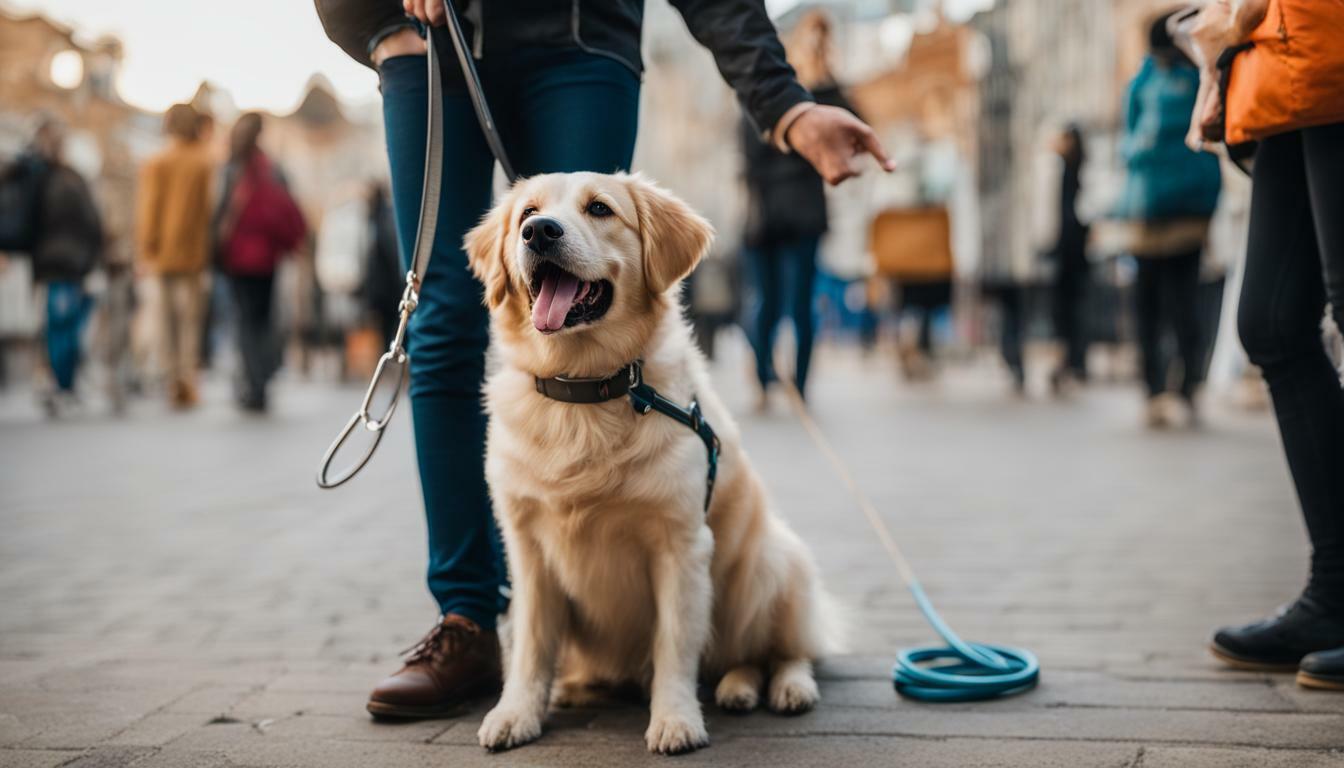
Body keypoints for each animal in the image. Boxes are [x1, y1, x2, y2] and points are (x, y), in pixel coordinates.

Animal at [467, 171, 833, 753]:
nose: (539, 232)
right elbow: (529, 646)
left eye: (599, 209)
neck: (585, 392)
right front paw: (516, 712)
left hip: (771, 565)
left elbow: (675, 645)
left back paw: (784, 686)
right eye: (527, 212)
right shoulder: (527, 549)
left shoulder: (680, 544)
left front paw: (676, 718)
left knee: (780, 650)